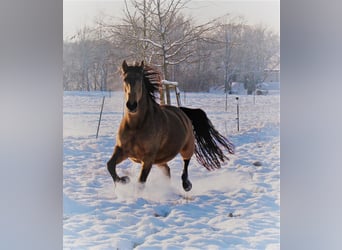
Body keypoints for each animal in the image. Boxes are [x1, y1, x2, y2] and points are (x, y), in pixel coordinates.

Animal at [107, 60, 235, 191]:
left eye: (139, 79)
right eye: (125, 79)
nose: (132, 105)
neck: (136, 126)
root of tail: (182, 111)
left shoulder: (148, 158)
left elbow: (141, 182)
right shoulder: (122, 150)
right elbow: (110, 165)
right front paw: (124, 180)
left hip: (187, 147)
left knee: (186, 163)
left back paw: (186, 185)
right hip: (160, 160)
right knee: (167, 170)